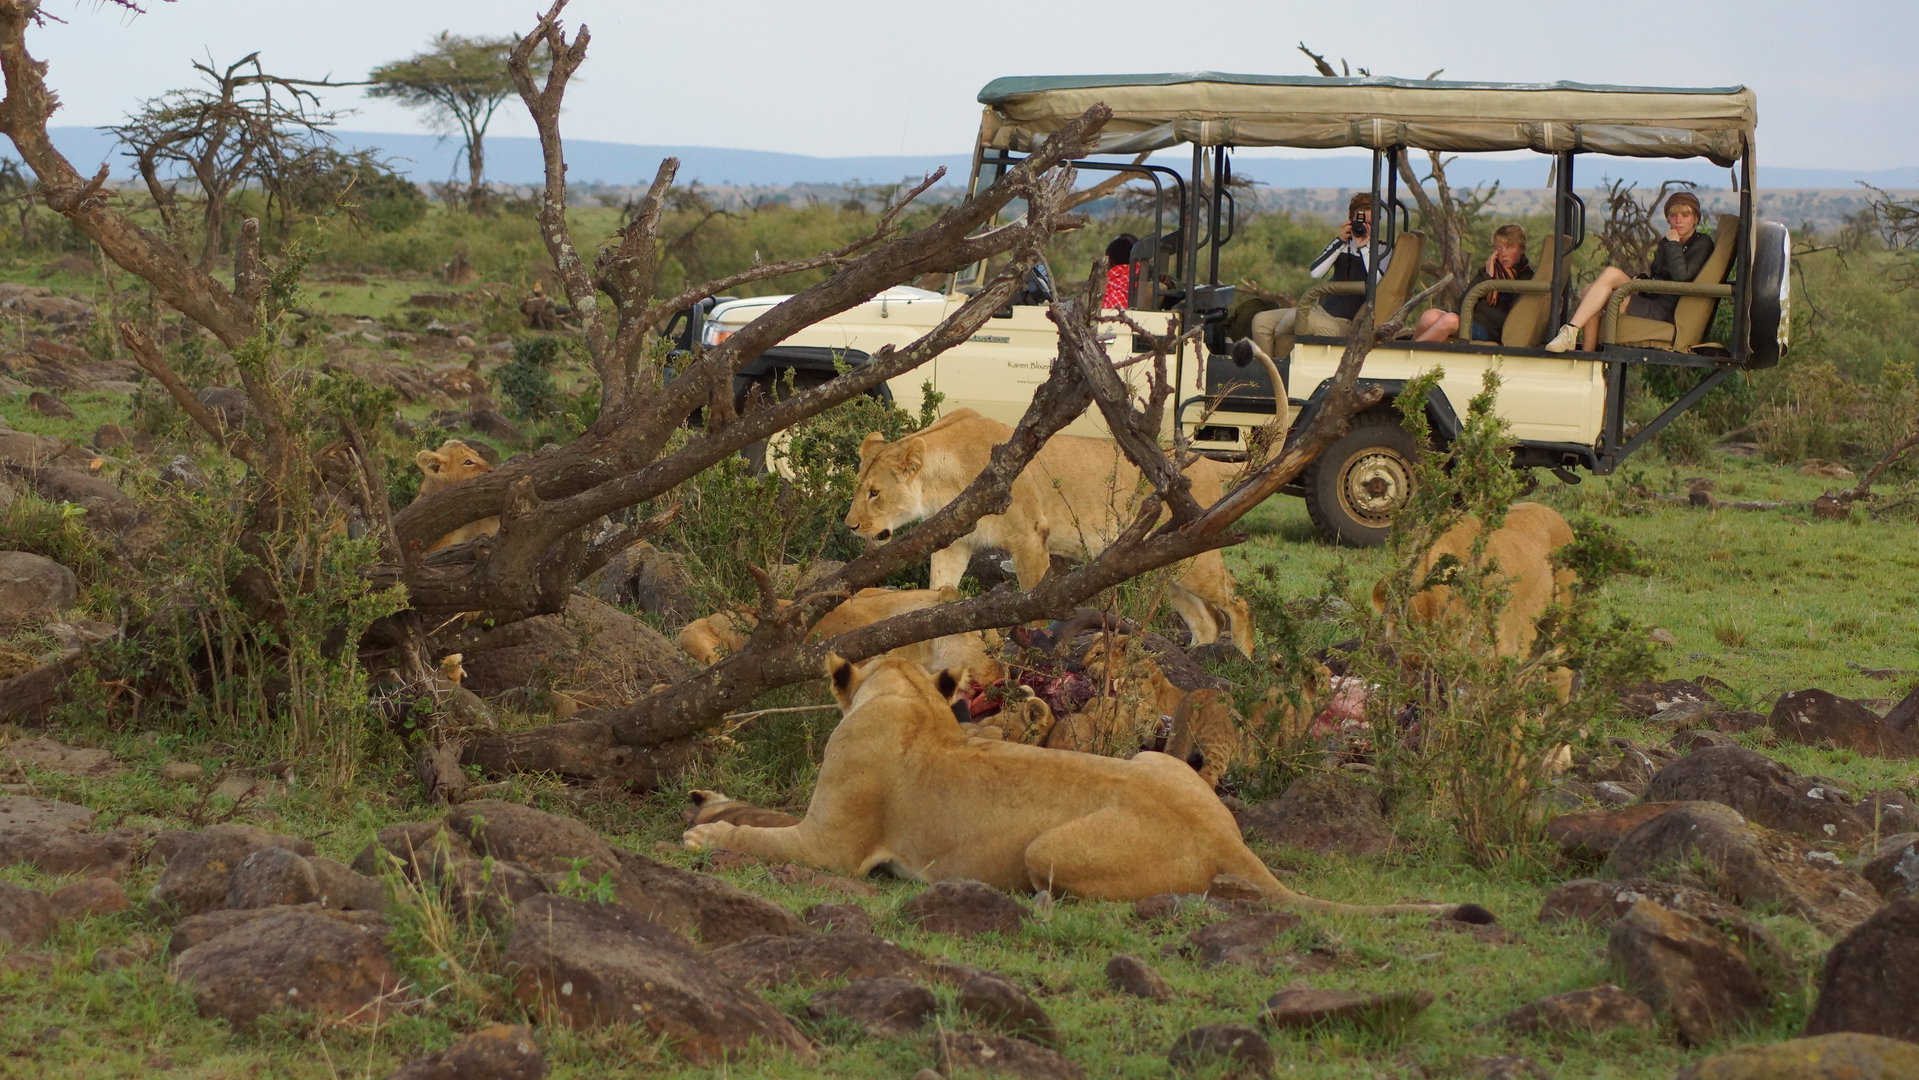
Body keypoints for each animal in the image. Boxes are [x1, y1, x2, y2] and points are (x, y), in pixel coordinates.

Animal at [683, 653, 1492, 920]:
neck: (907, 695)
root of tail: (1220, 836)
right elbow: (762, 814)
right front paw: (708, 802)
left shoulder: (833, 846)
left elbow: (760, 838)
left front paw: (703, 831)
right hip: (1152, 759)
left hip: (1049, 848)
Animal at [845, 409, 1253, 656]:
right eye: (858, 487)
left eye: (875, 492)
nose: (850, 526)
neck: (940, 479)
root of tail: (1207, 462)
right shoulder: (955, 546)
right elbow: (938, 591)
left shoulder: (1029, 538)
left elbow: (1032, 607)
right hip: (1163, 563)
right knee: (1207, 621)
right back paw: (1194, 658)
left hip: (1195, 556)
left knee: (1238, 601)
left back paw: (1242, 662)